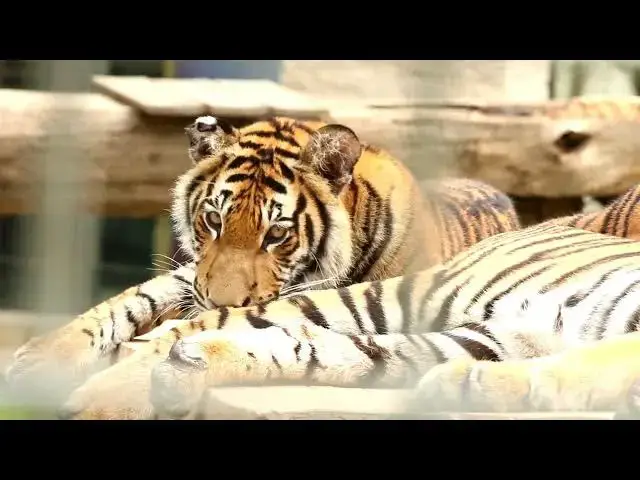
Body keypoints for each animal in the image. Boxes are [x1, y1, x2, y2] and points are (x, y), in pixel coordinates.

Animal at [5, 115, 520, 407]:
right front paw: (39, 360)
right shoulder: (195, 277)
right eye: (213, 219)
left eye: (277, 233)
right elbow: (133, 298)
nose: (219, 301)